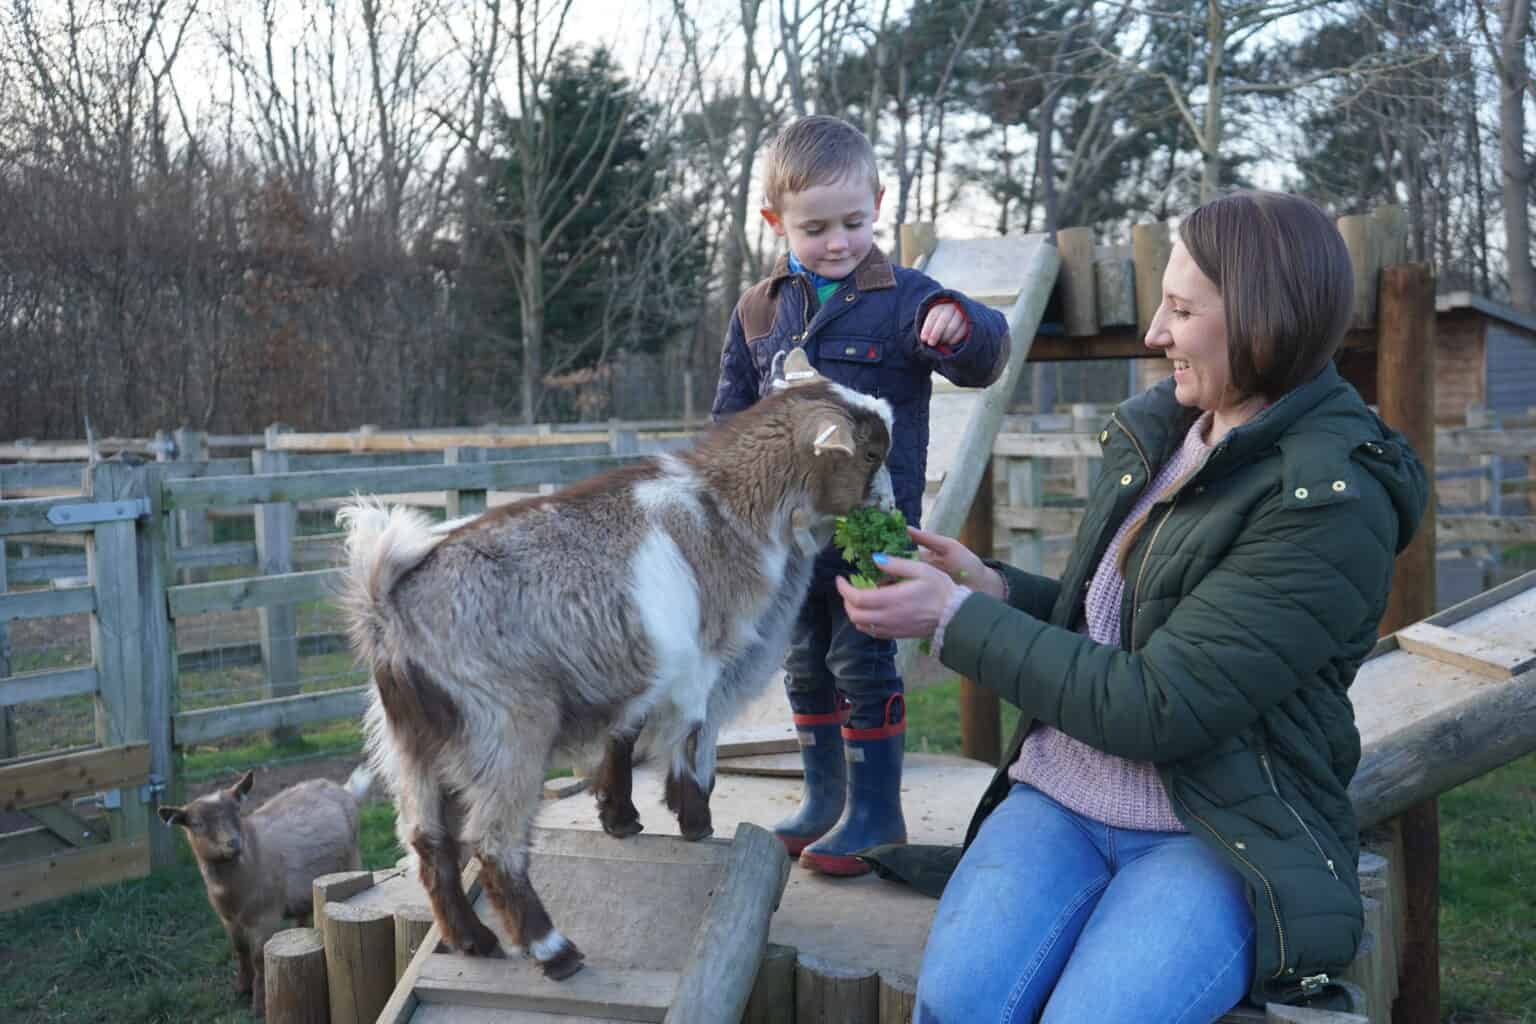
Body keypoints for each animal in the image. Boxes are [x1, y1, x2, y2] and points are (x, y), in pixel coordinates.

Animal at [159, 768, 368, 1017]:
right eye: (197, 823)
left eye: (237, 811)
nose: (233, 843)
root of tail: (343, 789)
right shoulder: (229, 920)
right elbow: (240, 951)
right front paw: (241, 990)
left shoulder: (264, 917)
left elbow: (259, 958)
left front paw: (258, 1005)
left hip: (352, 859)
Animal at [335, 351, 894, 980]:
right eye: (870, 454)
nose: (893, 506)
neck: (730, 510)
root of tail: (386, 605)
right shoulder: (699, 668)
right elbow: (693, 749)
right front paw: (696, 824)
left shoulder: (637, 666)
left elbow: (622, 737)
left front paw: (620, 817)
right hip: (506, 727)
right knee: (494, 844)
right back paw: (554, 952)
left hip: (411, 743)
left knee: (428, 841)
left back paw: (472, 940)